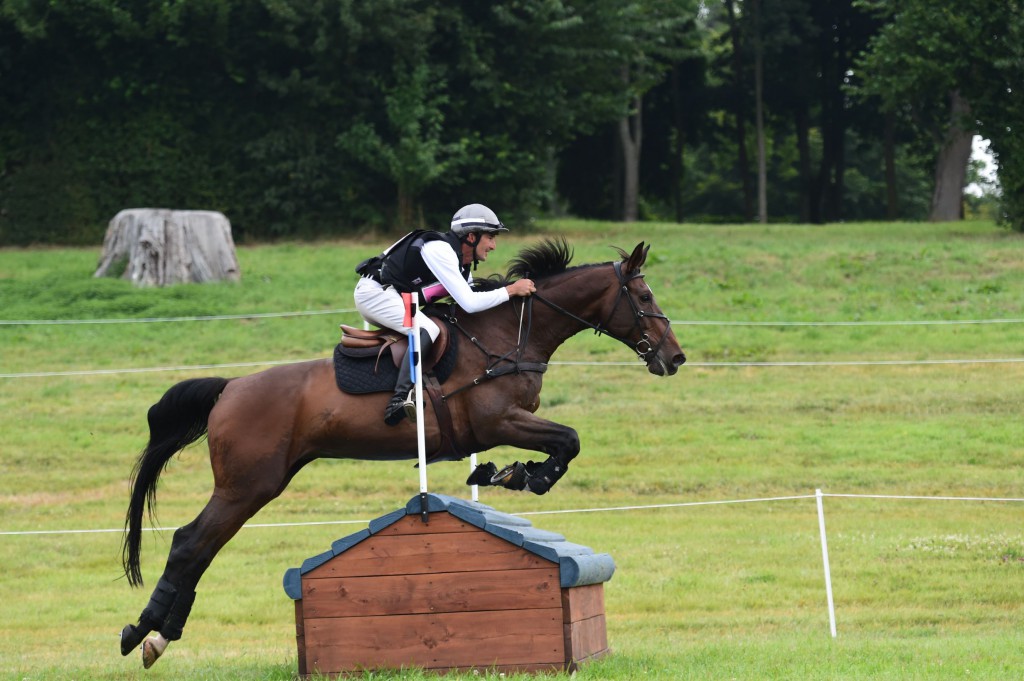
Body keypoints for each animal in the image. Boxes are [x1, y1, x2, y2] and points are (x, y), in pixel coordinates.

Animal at [119, 237, 684, 663]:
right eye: (645, 296)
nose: (675, 358)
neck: (508, 335)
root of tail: (230, 387)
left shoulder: (506, 425)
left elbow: (565, 442)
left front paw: (507, 473)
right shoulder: (500, 421)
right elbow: (569, 439)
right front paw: (523, 475)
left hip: (259, 484)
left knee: (202, 548)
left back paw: (158, 636)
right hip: (245, 485)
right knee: (190, 543)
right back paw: (140, 633)